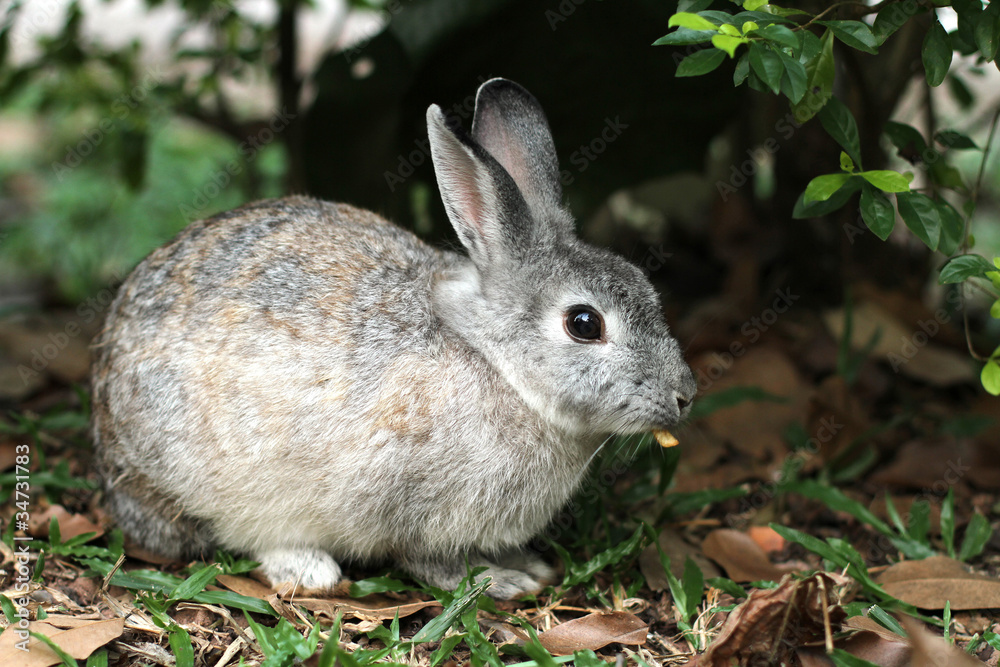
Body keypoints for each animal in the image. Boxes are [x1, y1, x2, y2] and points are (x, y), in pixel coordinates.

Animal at [90, 78, 696, 599]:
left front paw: (526, 563)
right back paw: (309, 569)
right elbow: (430, 562)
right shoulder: (403, 503)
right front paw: (501, 581)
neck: (495, 361)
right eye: (584, 324)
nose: (685, 396)